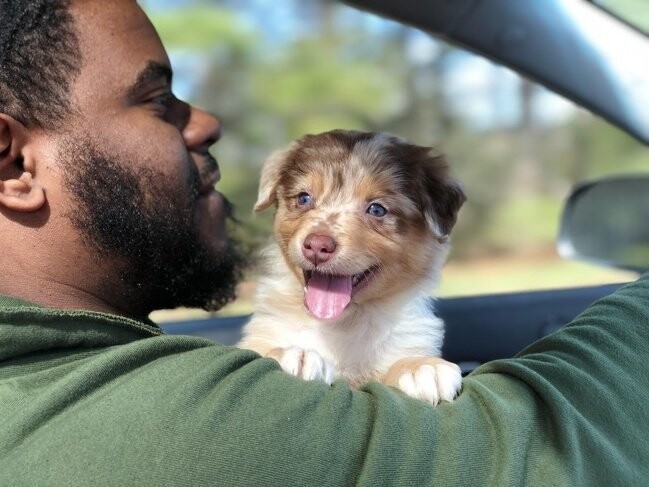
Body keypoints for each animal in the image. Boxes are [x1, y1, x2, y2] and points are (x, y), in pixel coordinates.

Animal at [238, 129, 466, 404]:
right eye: (304, 198)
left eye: (377, 209)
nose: (317, 246)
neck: (342, 323)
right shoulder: (264, 333)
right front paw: (296, 353)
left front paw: (421, 367)